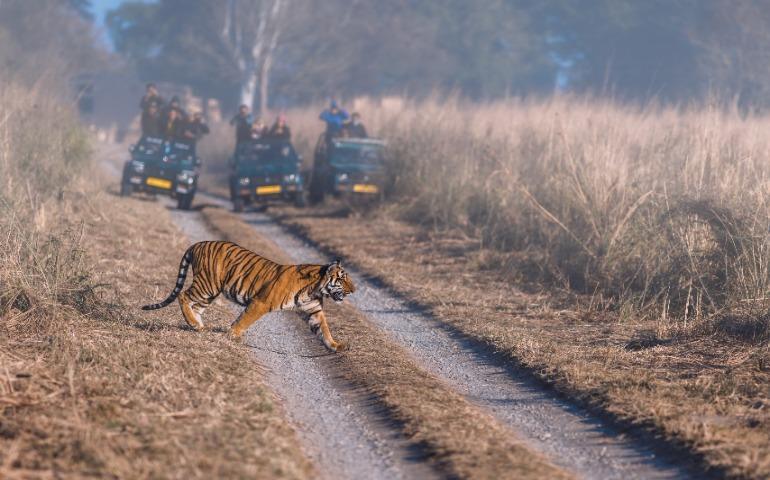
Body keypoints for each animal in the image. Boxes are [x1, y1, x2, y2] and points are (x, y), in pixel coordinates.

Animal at [141, 240, 355, 352]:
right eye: (342, 279)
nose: (354, 290)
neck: (315, 288)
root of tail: (198, 243)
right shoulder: (261, 302)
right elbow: (245, 319)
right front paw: (233, 335)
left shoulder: (314, 310)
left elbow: (324, 329)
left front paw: (336, 345)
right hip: (207, 284)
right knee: (184, 296)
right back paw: (194, 324)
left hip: (210, 291)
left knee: (196, 307)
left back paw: (198, 327)